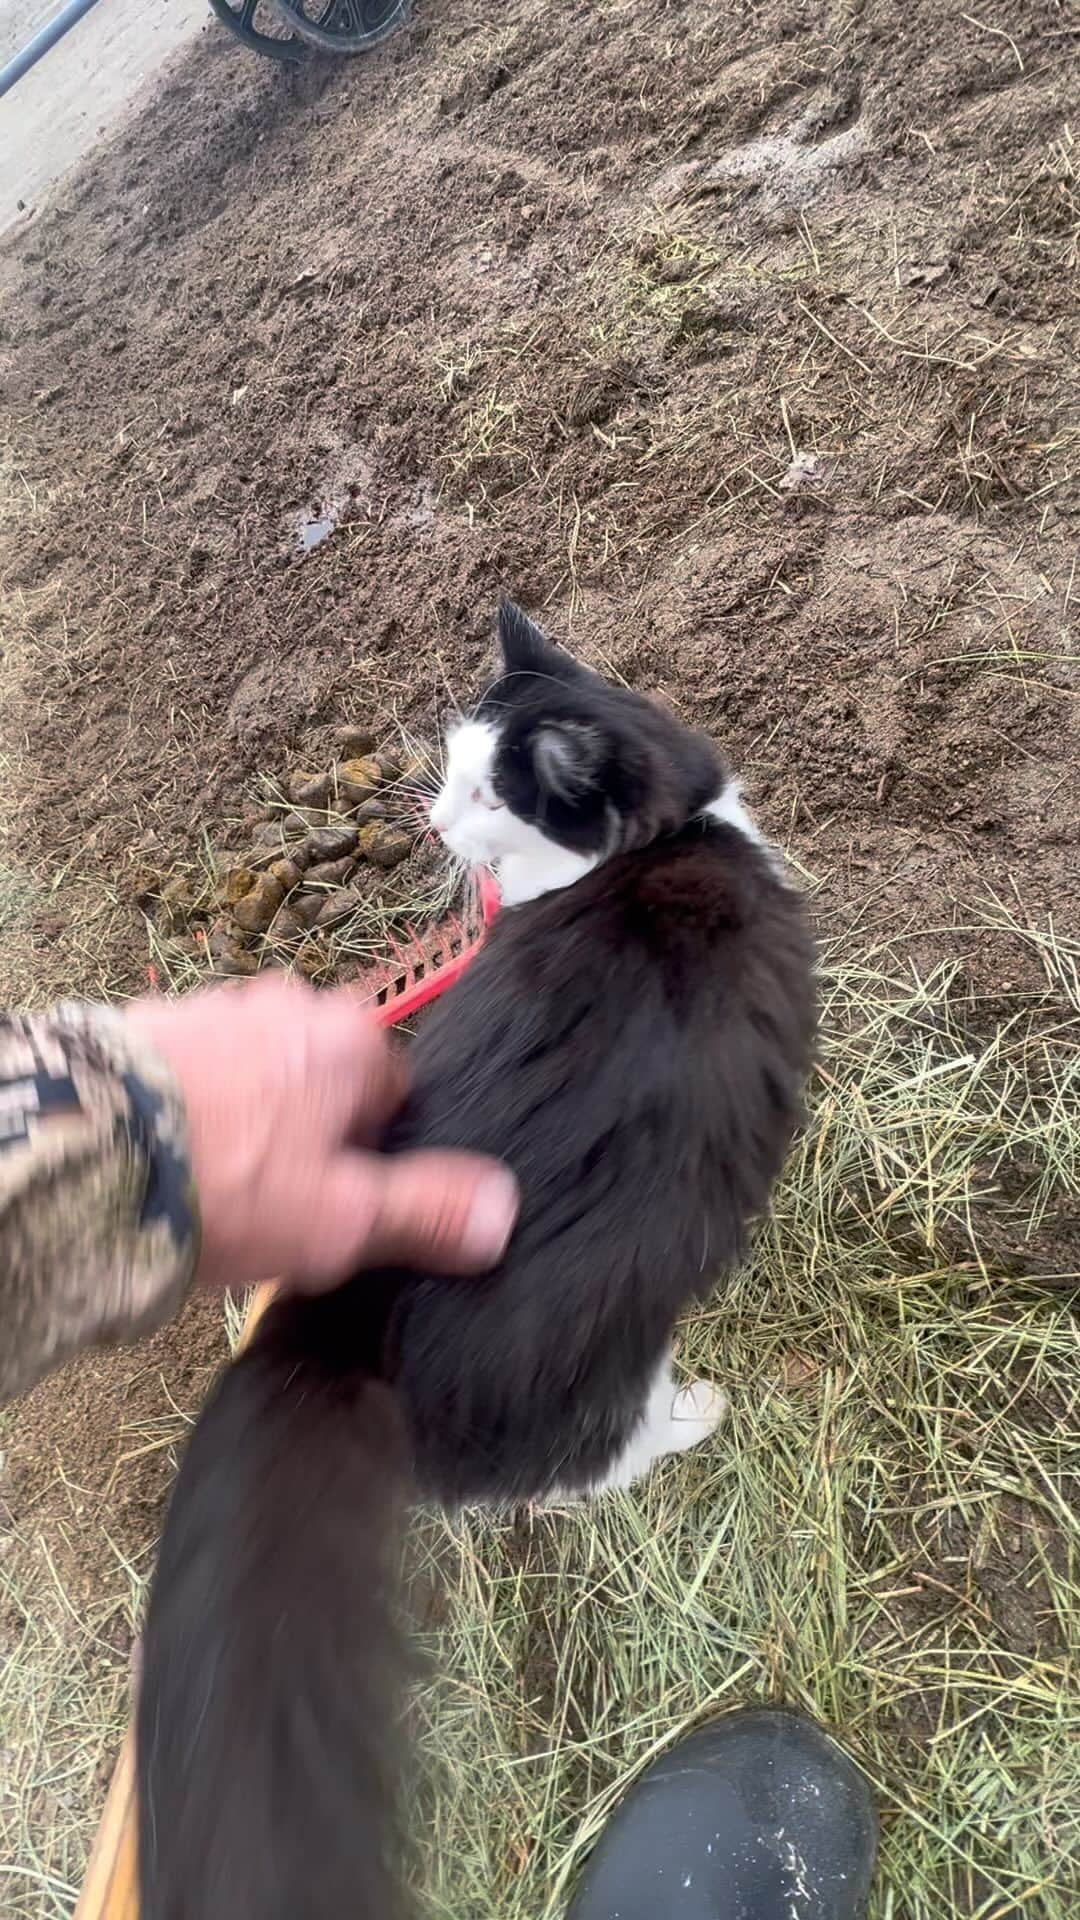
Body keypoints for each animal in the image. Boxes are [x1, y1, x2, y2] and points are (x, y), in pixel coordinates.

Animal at [136, 602, 807, 1920]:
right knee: (584, 1468)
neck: (669, 835)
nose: (433, 824)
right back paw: (692, 1415)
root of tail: (340, 1309)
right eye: (454, 779)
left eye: (485, 793)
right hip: (598, 1356)